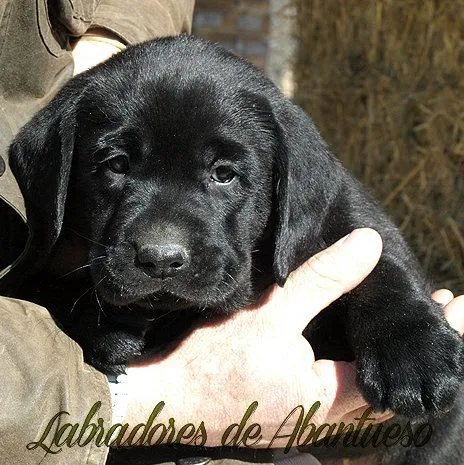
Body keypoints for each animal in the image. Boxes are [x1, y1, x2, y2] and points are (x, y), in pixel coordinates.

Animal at [3, 35, 464, 460]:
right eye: (116, 165)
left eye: (224, 174)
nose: (160, 259)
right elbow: (47, 287)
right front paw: (103, 327)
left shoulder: (344, 216)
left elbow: (380, 264)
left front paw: (414, 355)